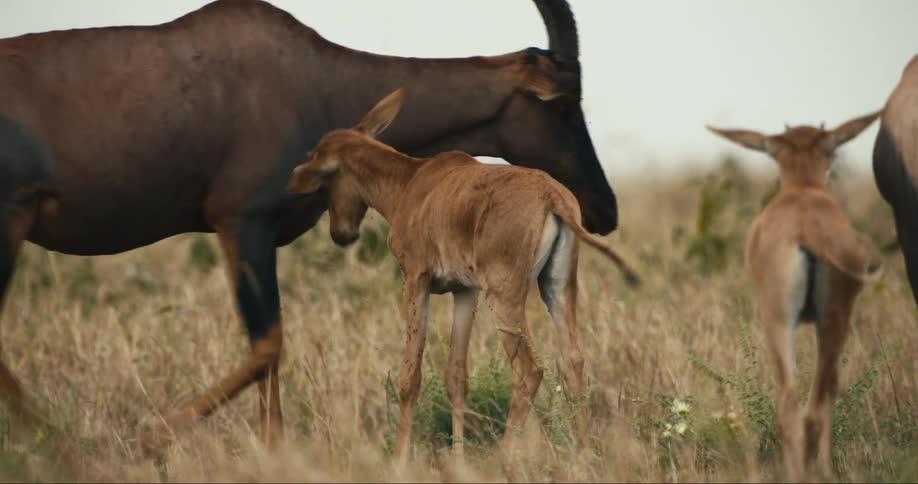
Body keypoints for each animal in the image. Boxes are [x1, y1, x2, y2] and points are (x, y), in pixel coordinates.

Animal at [287, 88, 639, 463]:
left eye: (326, 179)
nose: (341, 234)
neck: (415, 181)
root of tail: (550, 195)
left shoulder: (416, 281)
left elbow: (410, 376)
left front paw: (399, 459)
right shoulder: (465, 291)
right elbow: (457, 376)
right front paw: (457, 458)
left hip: (504, 296)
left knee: (529, 369)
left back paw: (503, 458)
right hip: (556, 288)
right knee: (572, 362)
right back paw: (584, 457)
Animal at [708, 111, 883, 480]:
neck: (803, 190)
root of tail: (807, 231)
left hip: (786, 322)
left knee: (795, 403)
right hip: (822, 322)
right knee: (812, 402)